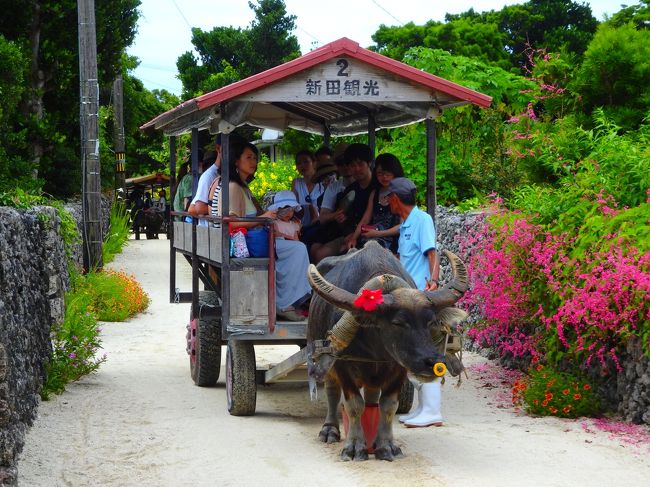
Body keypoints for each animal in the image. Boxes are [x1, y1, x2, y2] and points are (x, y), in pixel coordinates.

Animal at [306, 242, 466, 464]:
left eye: (431, 321)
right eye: (398, 322)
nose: (433, 362)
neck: (375, 344)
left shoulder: (398, 368)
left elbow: (388, 405)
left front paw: (386, 446)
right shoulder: (343, 365)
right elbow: (353, 405)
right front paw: (354, 447)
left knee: (372, 396)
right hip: (325, 359)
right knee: (332, 391)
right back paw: (329, 430)